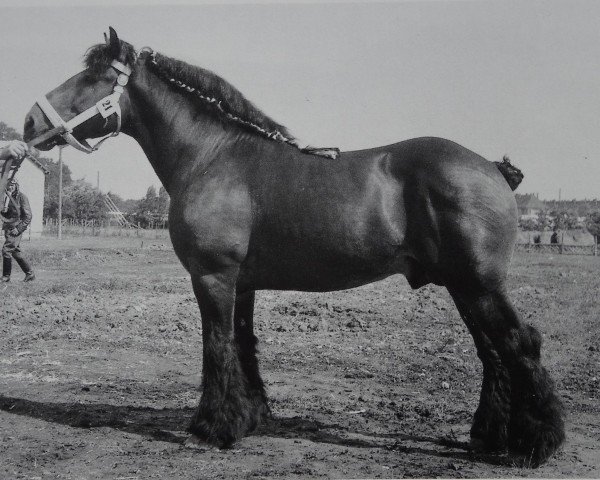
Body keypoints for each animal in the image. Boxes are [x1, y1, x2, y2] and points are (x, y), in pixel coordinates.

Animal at [23, 28, 564, 466]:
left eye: (92, 76)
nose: (29, 123)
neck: (212, 156)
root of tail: (493, 168)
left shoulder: (212, 276)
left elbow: (216, 346)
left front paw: (209, 430)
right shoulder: (241, 283)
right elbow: (243, 345)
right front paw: (248, 419)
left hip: (478, 284)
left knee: (520, 344)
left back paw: (536, 444)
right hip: (461, 285)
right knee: (492, 353)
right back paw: (488, 438)